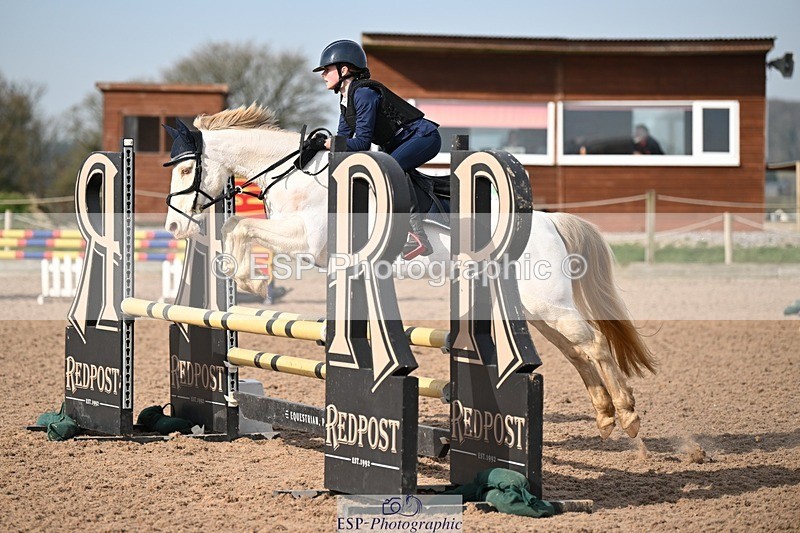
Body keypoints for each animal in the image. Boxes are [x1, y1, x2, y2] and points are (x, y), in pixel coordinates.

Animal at [163, 104, 656, 440]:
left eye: (187, 169)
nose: (173, 227)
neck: (296, 175)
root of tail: (550, 221)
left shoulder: (309, 241)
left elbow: (240, 226)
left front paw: (249, 278)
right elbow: (235, 227)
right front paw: (242, 277)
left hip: (547, 302)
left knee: (593, 343)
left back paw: (629, 416)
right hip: (536, 309)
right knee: (577, 352)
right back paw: (606, 417)